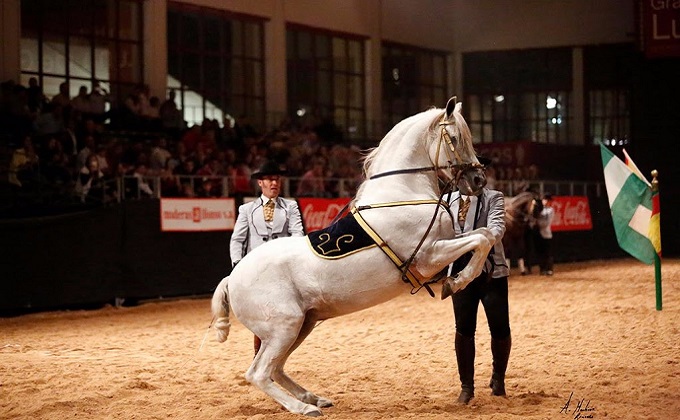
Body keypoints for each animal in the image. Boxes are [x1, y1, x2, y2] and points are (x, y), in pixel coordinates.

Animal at [211, 97, 494, 416]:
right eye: (455, 138)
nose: (478, 180)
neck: (401, 194)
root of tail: (232, 278)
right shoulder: (429, 255)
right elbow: (481, 239)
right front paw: (455, 282)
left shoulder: (445, 244)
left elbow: (485, 234)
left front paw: (457, 280)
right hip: (283, 327)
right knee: (258, 373)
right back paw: (304, 408)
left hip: (301, 325)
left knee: (276, 369)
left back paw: (315, 398)